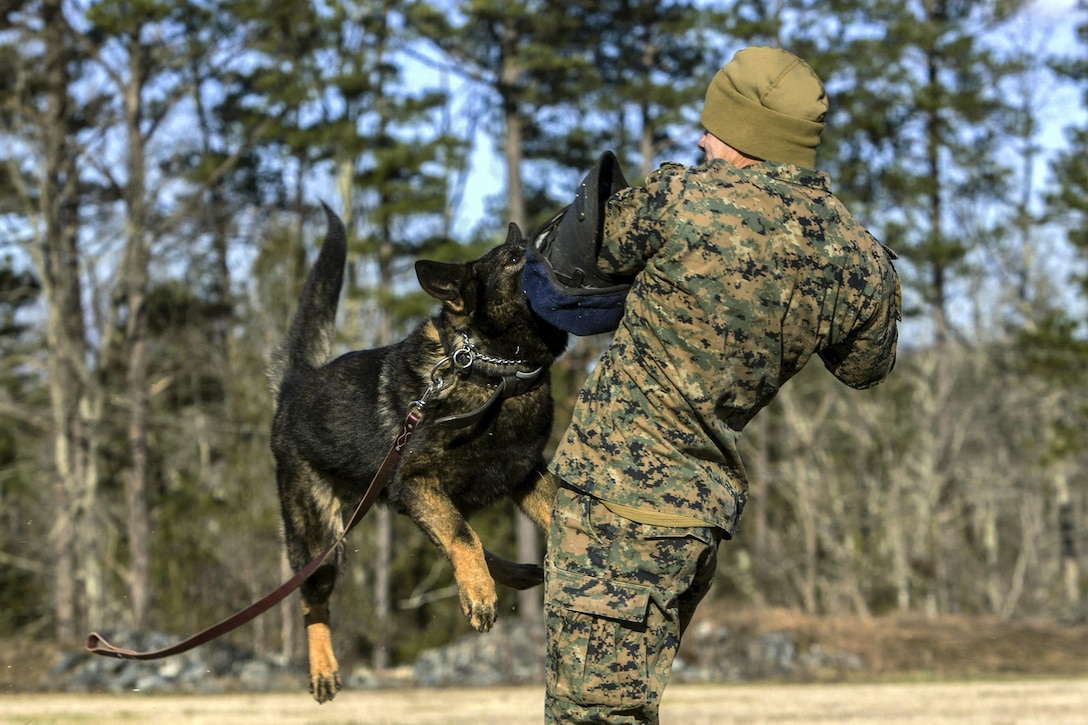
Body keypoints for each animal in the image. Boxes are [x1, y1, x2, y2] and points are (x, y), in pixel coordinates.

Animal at [268, 204, 570, 701]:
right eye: (513, 259)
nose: (558, 223)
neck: (493, 374)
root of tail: (296, 385)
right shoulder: (416, 483)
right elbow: (463, 535)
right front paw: (480, 594)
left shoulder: (521, 473)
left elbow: (474, 531)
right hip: (323, 544)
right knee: (313, 604)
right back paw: (323, 669)